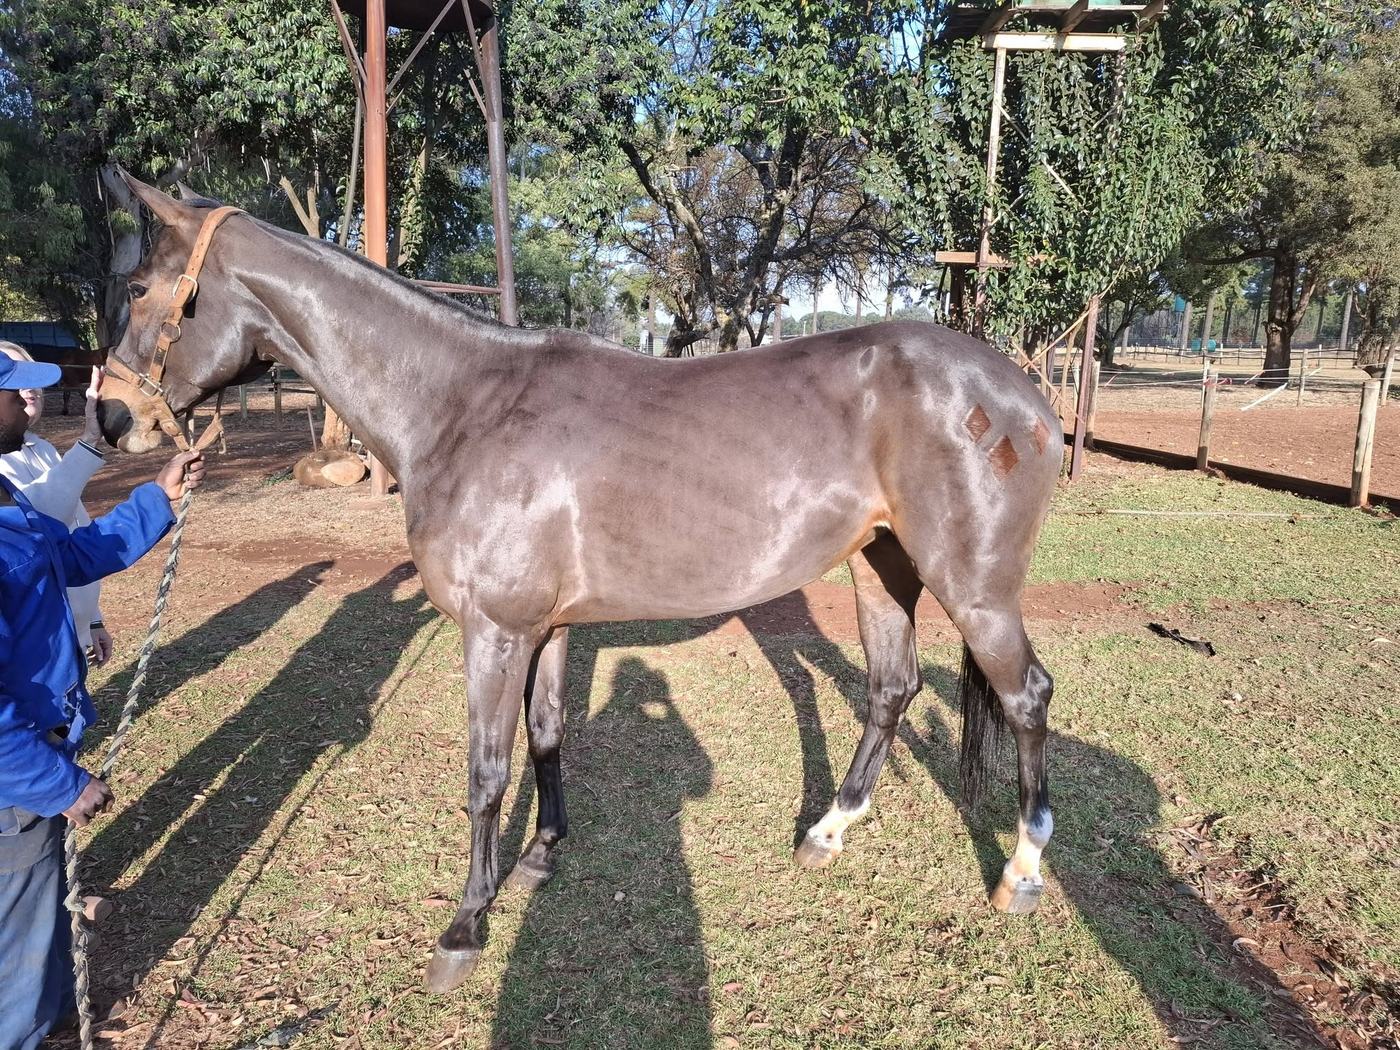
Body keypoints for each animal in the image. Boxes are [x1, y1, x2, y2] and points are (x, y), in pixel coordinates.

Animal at [98, 172, 1063, 993]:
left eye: (140, 288)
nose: (113, 419)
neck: (461, 407)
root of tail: (1023, 394)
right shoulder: (546, 627)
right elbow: (548, 734)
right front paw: (541, 855)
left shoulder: (494, 630)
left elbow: (487, 772)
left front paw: (465, 926)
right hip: (881, 566)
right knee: (892, 688)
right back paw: (826, 832)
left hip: (974, 591)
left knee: (1026, 697)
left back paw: (1020, 874)